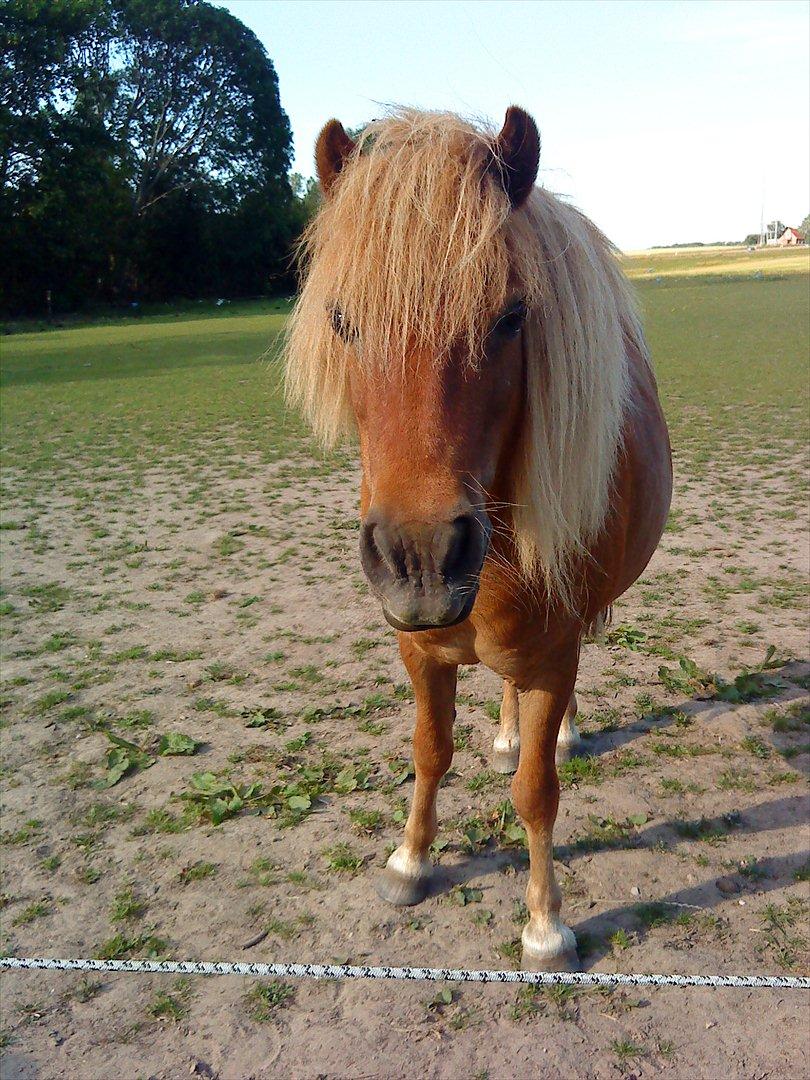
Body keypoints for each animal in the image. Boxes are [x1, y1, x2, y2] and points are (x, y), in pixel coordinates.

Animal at [285, 109, 673, 972]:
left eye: (509, 318)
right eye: (341, 320)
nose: (421, 560)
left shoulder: (554, 656)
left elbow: (535, 792)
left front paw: (545, 923)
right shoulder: (419, 653)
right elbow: (430, 753)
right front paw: (410, 860)